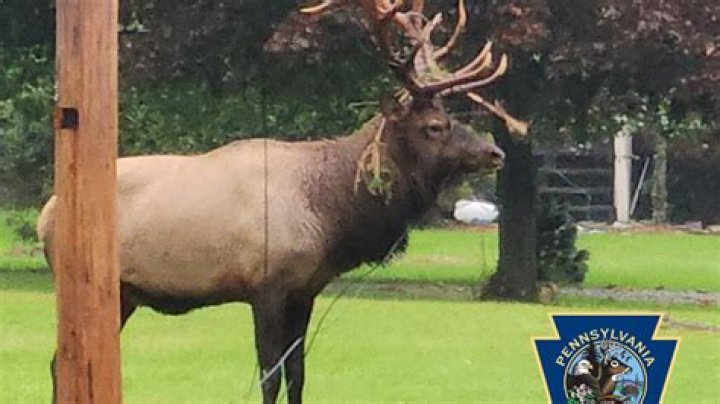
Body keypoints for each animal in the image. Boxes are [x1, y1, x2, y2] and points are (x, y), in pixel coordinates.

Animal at [38, 1, 523, 403]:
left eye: (453, 117)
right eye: (436, 126)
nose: (495, 152)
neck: (330, 212)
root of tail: (45, 215)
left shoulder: (305, 290)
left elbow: (298, 373)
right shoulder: (265, 285)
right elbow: (269, 376)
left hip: (125, 296)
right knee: (61, 363)